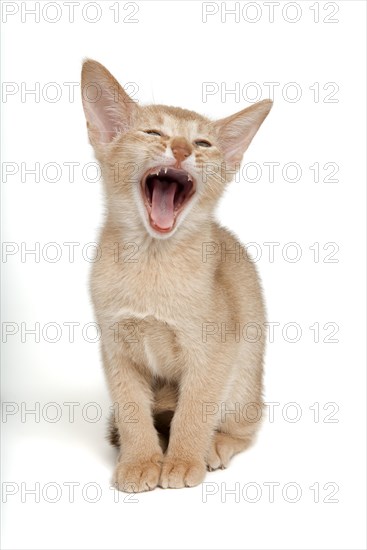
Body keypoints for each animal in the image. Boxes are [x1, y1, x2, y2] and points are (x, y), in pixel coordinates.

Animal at [82, 58, 274, 494]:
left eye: (202, 144)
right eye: (154, 133)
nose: (183, 150)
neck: (152, 263)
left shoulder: (215, 351)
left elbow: (194, 411)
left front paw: (183, 460)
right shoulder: (116, 350)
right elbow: (133, 413)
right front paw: (140, 461)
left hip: (244, 379)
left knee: (247, 425)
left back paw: (216, 446)